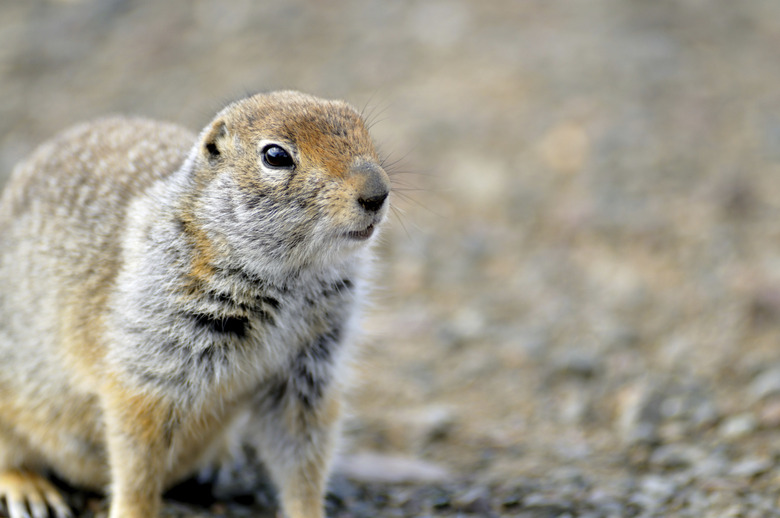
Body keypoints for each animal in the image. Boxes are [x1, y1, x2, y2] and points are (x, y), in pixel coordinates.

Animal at [0, 92, 390, 518]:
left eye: (361, 127)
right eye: (275, 156)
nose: (377, 193)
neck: (291, 279)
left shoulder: (310, 368)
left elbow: (303, 455)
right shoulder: (154, 357)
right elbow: (138, 456)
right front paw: (132, 509)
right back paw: (30, 491)